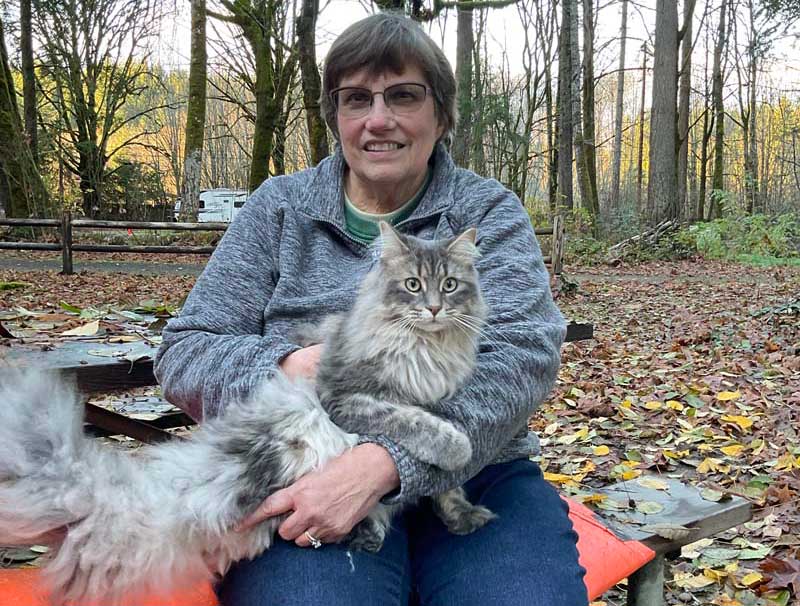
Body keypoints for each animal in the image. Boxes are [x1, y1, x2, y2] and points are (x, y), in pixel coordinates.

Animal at [0, 223, 494, 606]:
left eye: (450, 285)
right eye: (413, 285)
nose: (434, 308)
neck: (424, 348)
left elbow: (445, 484)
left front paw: (462, 516)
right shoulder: (347, 398)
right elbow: (417, 426)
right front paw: (455, 447)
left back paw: (369, 534)